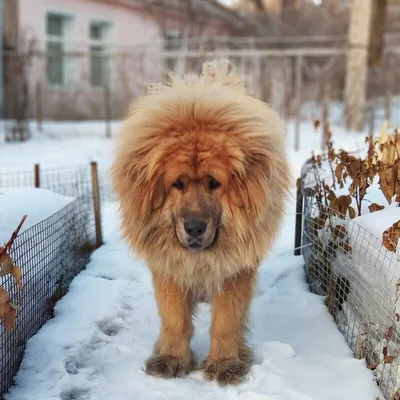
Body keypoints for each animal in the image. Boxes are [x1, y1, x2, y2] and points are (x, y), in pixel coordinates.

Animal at [111, 59, 290, 384]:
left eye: (214, 183)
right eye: (177, 184)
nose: (195, 227)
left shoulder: (234, 267)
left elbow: (226, 321)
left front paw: (225, 363)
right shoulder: (169, 265)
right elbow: (174, 319)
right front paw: (170, 358)